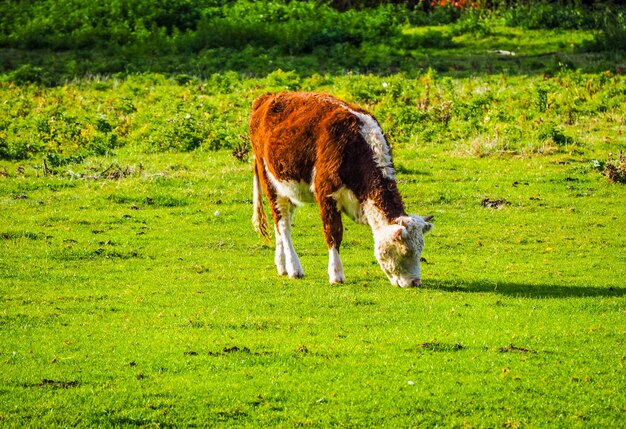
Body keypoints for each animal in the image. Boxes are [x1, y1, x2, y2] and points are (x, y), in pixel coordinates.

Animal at [246, 91, 432, 286]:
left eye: (420, 250)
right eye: (405, 251)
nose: (415, 282)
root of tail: (267, 96)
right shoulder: (326, 193)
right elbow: (334, 233)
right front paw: (336, 274)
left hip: (287, 187)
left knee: (281, 223)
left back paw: (282, 266)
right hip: (270, 181)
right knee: (283, 224)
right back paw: (294, 268)